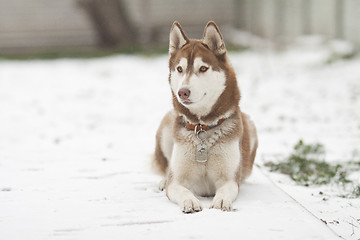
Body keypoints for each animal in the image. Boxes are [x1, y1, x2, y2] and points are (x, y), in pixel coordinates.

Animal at [153, 20, 258, 212]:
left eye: (202, 68)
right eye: (179, 69)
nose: (182, 92)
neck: (202, 127)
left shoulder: (229, 179)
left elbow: (226, 189)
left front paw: (222, 200)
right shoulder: (177, 181)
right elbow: (180, 189)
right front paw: (190, 200)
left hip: (251, 127)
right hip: (166, 127)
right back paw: (163, 180)